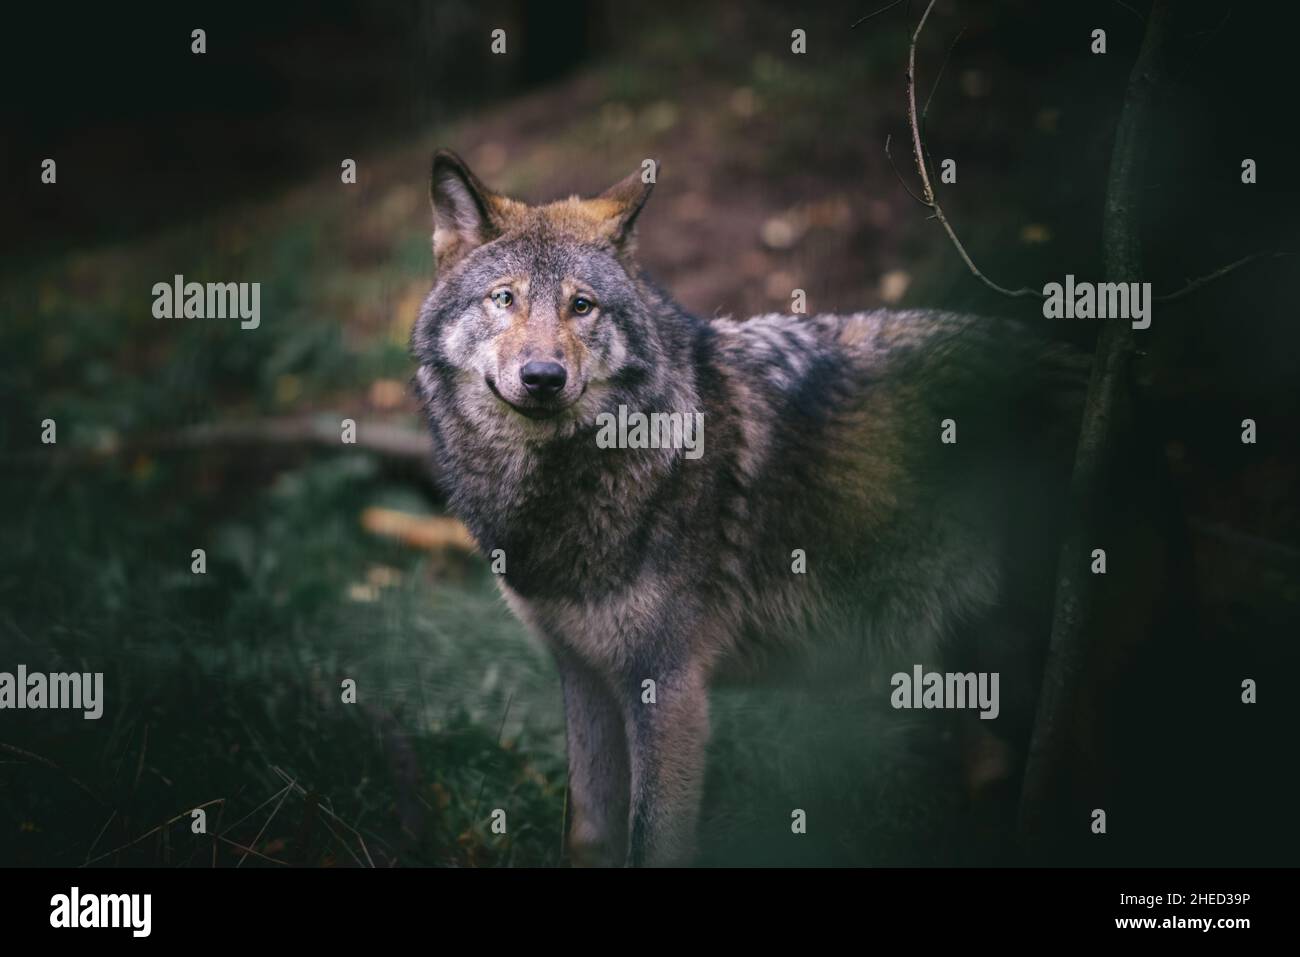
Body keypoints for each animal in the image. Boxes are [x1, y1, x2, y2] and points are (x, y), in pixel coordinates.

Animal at [408, 149, 1097, 868]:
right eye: (504, 297)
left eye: (582, 306)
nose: (544, 377)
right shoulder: (585, 672)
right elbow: (589, 834)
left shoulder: (670, 685)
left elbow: (652, 840)